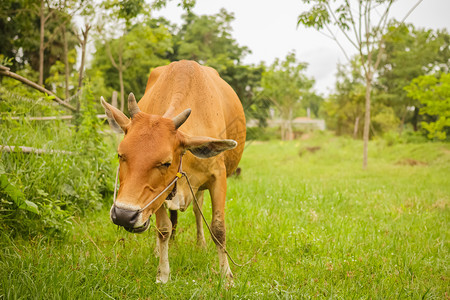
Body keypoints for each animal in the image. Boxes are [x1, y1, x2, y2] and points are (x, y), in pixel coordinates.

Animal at [101, 59, 246, 282]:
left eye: (166, 163)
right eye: (120, 155)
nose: (124, 215)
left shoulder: (218, 177)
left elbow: (218, 228)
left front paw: (226, 276)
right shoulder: (159, 192)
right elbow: (163, 229)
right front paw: (163, 274)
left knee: (197, 209)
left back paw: (201, 244)